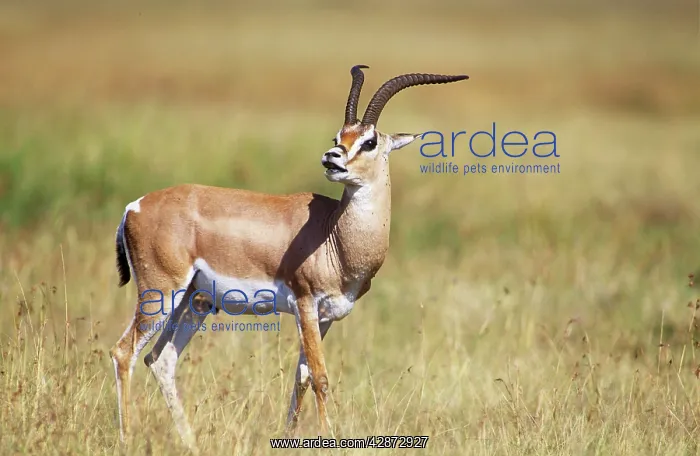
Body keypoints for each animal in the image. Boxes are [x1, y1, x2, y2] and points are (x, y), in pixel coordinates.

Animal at [109, 65, 468, 452]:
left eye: (369, 141)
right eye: (339, 135)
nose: (332, 158)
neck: (334, 237)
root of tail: (134, 207)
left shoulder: (325, 317)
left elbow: (302, 379)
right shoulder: (305, 304)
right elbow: (321, 378)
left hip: (194, 301)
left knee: (161, 360)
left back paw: (191, 443)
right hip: (160, 294)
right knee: (123, 353)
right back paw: (127, 440)